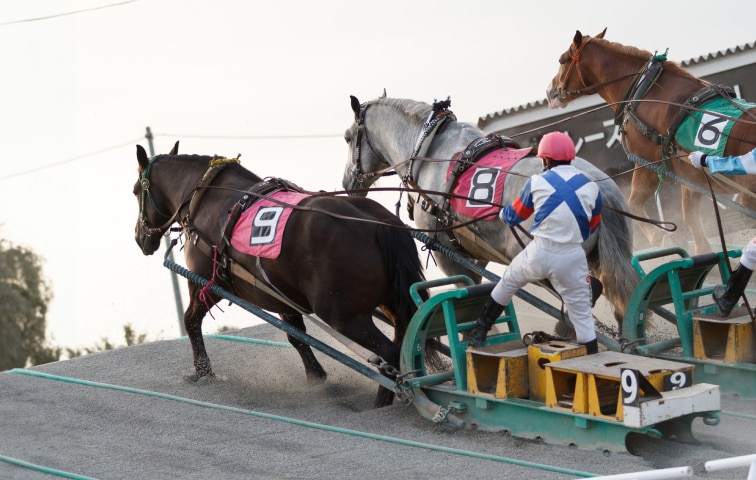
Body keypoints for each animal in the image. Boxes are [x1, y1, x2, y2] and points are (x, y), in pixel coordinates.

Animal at [131, 141, 426, 406]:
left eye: (135, 191)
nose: (139, 237)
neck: (208, 198)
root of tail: (379, 224)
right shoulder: (281, 295)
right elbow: (296, 336)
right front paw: (316, 377)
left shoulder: (206, 284)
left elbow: (191, 321)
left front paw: (203, 372)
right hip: (392, 305)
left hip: (345, 317)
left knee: (389, 354)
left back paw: (385, 400)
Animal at [548, 29, 756, 255]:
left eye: (561, 61)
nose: (550, 91)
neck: (647, 92)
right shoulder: (689, 176)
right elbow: (690, 217)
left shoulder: (647, 164)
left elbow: (634, 204)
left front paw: (660, 236)